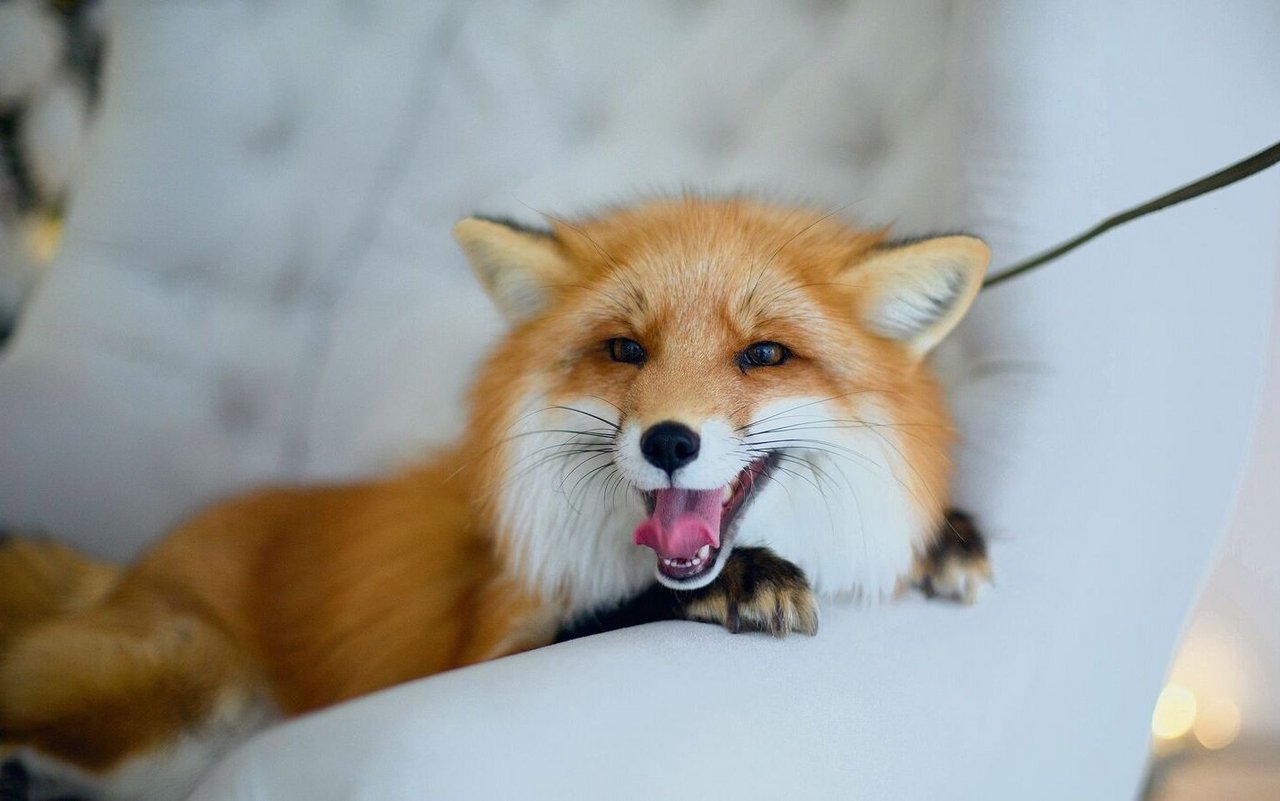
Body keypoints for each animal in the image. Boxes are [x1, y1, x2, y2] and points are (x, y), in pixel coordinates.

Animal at [0, 197, 992, 800]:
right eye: (625, 349)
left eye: (765, 355)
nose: (670, 442)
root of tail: (125, 568)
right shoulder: (492, 643)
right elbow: (612, 613)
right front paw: (739, 580)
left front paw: (945, 538)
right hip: (180, 688)